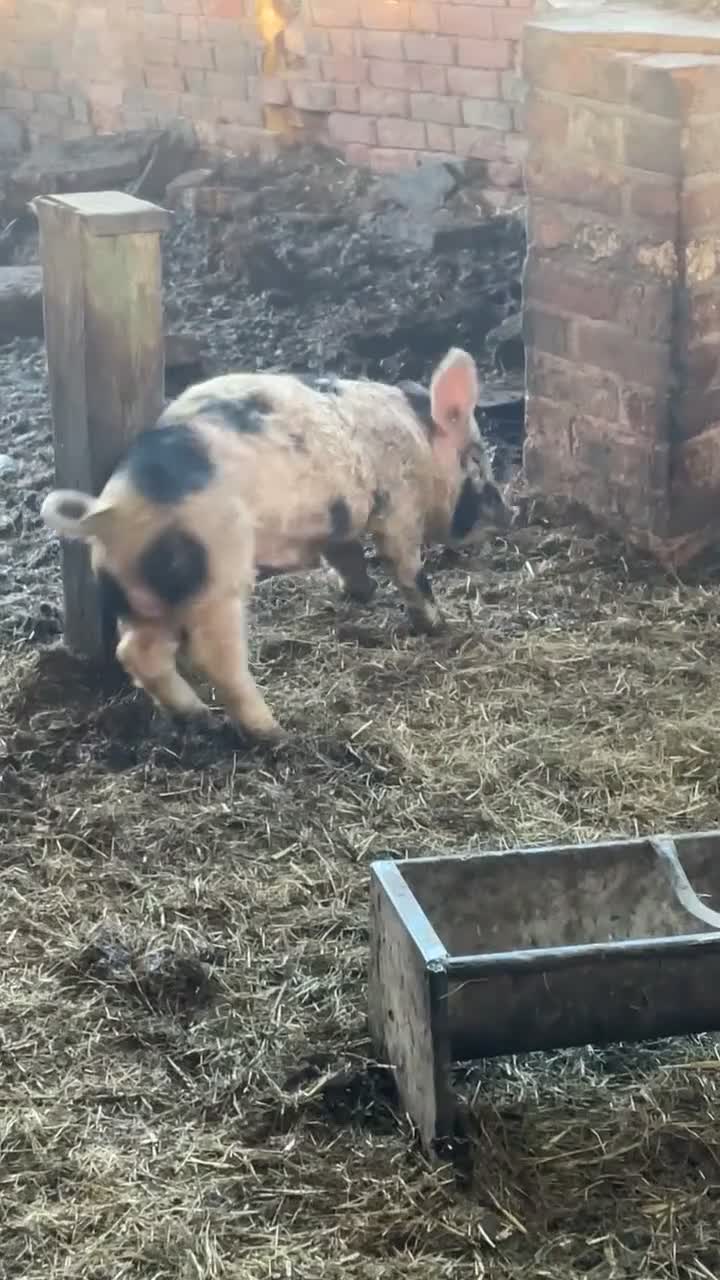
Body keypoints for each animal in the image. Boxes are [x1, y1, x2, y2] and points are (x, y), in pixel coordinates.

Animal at [40, 347, 511, 744]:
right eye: (477, 461)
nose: (511, 516)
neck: (419, 441)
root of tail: (109, 512)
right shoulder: (397, 509)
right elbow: (409, 570)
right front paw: (438, 624)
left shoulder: (341, 524)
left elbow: (347, 556)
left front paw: (362, 593)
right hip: (217, 582)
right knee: (217, 661)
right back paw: (273, 734)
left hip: (143, 598)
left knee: (138, 653)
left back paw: (199, 719)